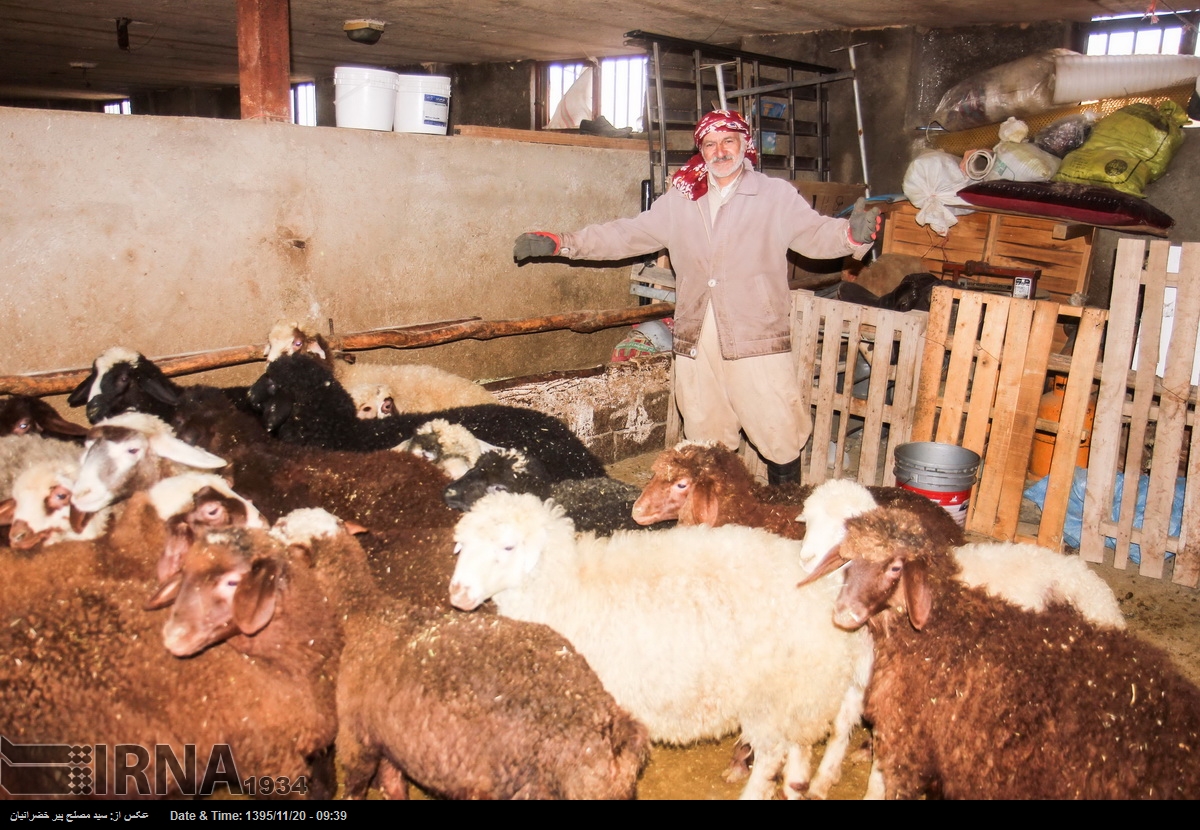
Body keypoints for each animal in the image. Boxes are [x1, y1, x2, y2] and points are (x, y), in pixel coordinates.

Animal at [451, 489, 873, 801]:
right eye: (462, 545)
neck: (568, 586)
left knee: (771, 756)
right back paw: (800, 786)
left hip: (771, 696)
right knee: (801, 747)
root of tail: (824, 585)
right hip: (805, 693)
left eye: (508, 547)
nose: (457, 593)